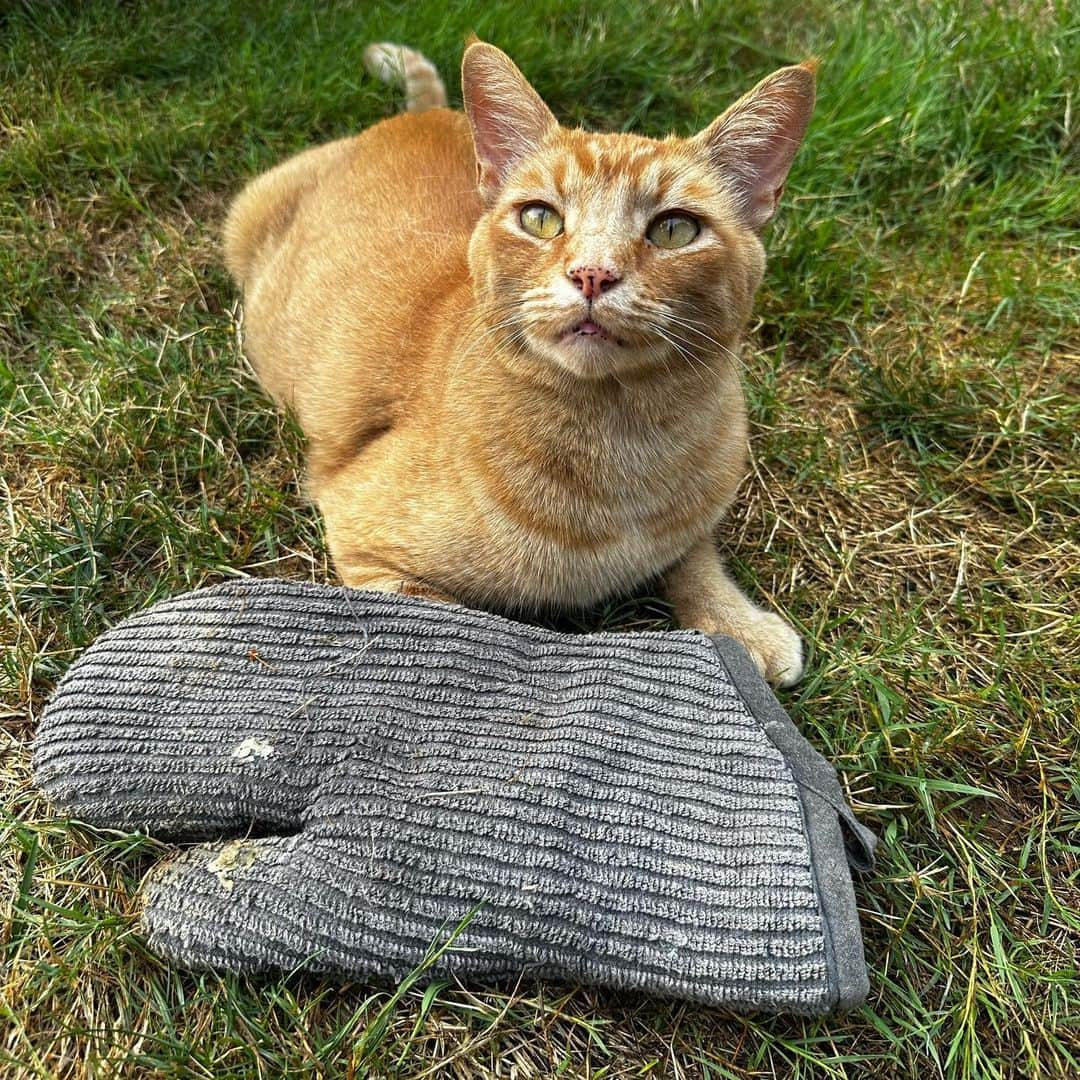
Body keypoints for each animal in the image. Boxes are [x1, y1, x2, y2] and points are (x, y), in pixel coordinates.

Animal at [223, 42, 812, 686]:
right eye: (540, 218)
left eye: (675, 229)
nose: (592, 273)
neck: (621, 439)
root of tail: (421, 116)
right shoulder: (367, 546)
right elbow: (476, 623)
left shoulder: (690, 522)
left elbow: (694, 555)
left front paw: (736, 621)